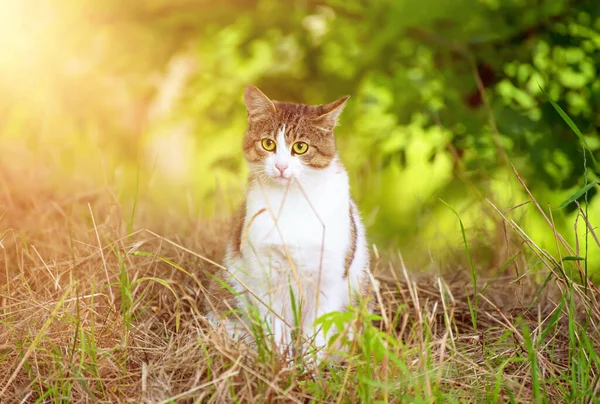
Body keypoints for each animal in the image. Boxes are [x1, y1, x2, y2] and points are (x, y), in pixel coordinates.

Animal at [206, 86, 376, 360]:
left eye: (301, 147)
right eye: (268, 143)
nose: (281, 166)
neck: (293, 201)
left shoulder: (327, 279)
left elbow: (315, 334)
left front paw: (307, 367)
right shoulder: (266, 276)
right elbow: (276, 329)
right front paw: (279, 362)